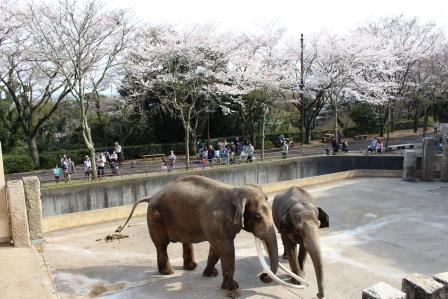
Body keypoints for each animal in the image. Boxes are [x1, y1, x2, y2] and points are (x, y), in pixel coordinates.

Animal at [116, 176, 280, 290]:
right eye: (258, 217)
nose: (263, 276)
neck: (234, 190)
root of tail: (151, 196)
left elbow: (215, 250)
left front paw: (210, 274)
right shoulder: (215, 222)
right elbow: (226, 250)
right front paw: (232, 288)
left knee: (184, 241)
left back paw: (191, 267)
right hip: (155, 218)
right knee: (161, 245)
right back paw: (168, 273)